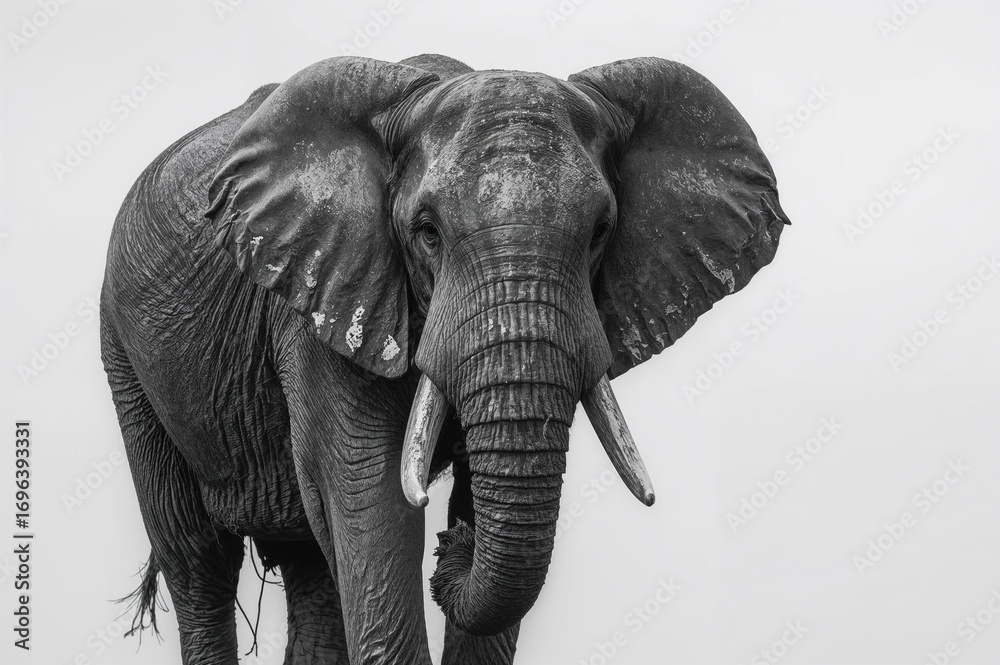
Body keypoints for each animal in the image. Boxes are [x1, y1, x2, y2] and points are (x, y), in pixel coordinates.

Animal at [99, 52, 788, 664]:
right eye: (427, 232)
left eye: (599, 233)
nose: (454, 545)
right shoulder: (324, 296)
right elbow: (369, 486)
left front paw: (463, 525)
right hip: (125, 354)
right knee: (198, 560)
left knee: (311, 568)